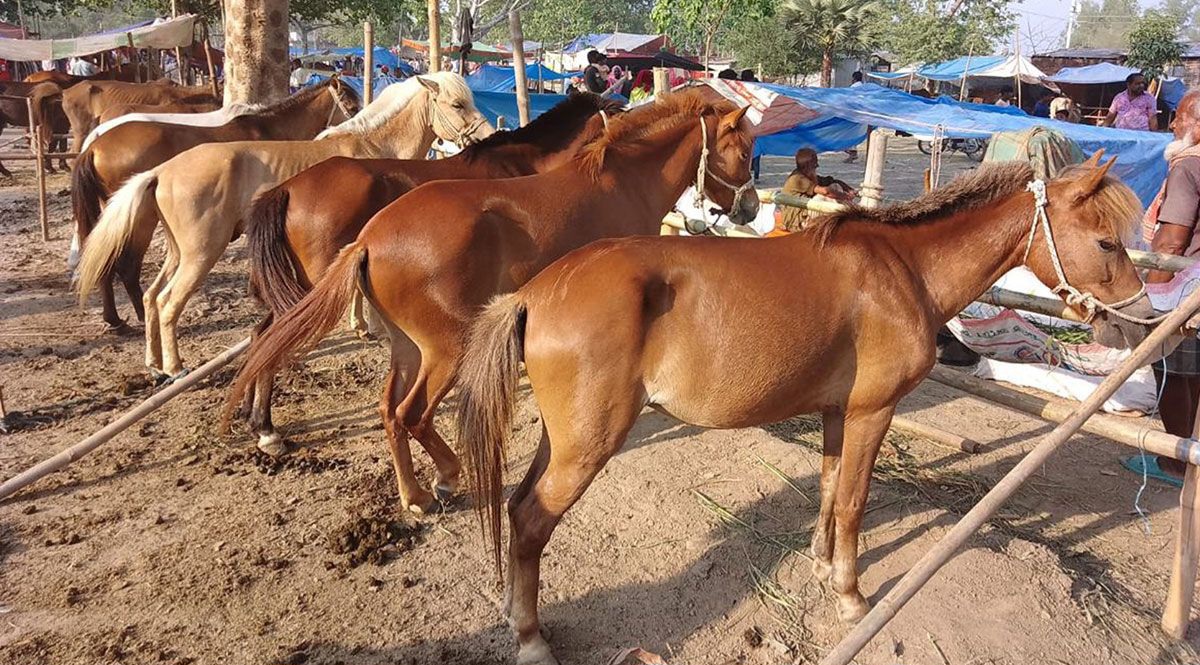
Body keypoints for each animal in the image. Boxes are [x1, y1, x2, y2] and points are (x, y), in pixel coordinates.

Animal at [450, 154, 1156, 664]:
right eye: (1106, 242)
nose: (1140, 321)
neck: (902, 269)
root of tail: (534, 292)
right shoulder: (873, 411)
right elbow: (854, 502)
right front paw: (850, 596)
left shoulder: (837, 413)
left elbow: (828, 487)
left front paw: (820, 565)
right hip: (587, 446)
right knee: (533, 521)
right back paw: (532, 640)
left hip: (563, 439)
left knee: (516, 507)